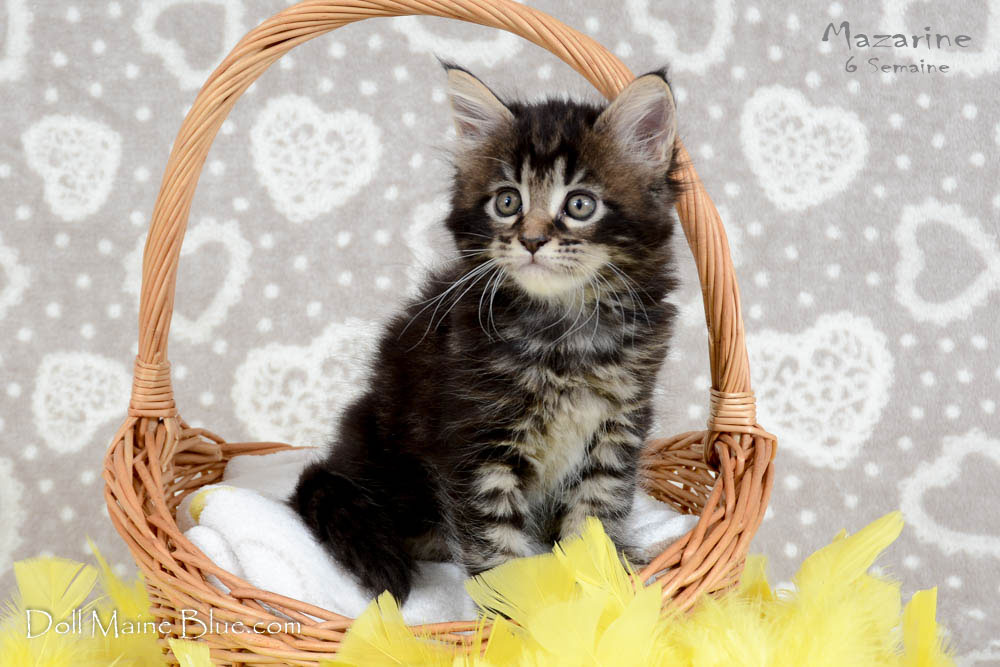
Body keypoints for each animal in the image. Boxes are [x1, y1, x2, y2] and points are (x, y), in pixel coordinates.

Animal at [291, 63, 683, 604]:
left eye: (580, 205)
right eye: (507, 201)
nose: (532, 240)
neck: (563, 332)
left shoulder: (617, 425)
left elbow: (597, 513)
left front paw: (600, 582)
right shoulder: (476, 440)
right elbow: (494, 540)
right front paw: (520, 611)